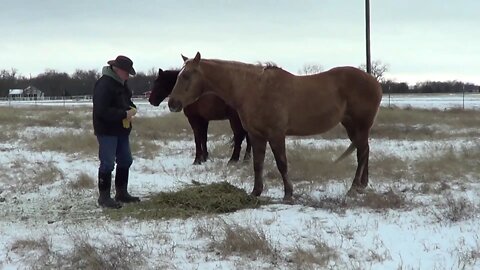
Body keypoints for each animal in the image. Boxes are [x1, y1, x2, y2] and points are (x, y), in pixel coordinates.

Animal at [169, 52, 382, 201]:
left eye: (187, 76)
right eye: (179, 75)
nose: (172, 103)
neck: (254, 89)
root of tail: (375, 82)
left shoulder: (276, 134)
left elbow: (282, 163)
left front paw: (288, 193)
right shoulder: (257, 135)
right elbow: (257, 164)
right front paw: (256, 192)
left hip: (361, 125)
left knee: (362, 152)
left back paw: (354, 187)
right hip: (351, 126)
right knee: (364, 151)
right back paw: (362, 185)